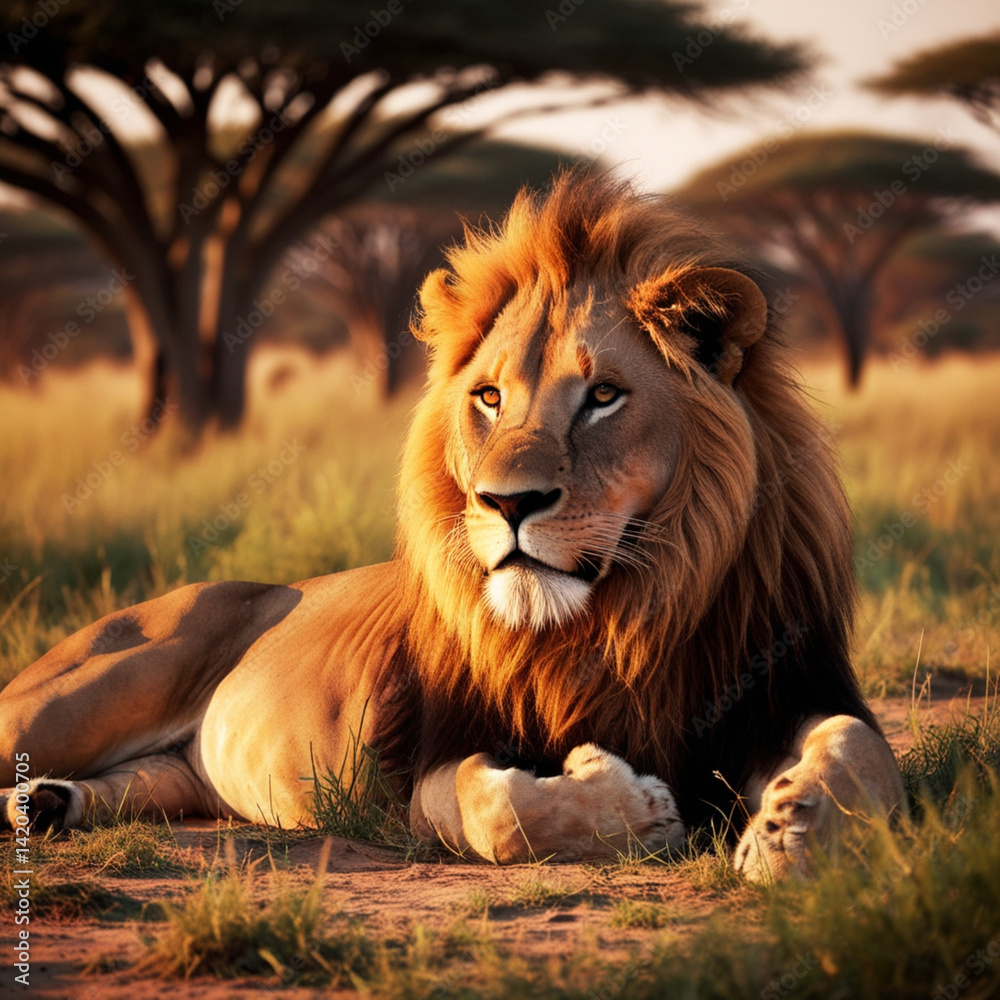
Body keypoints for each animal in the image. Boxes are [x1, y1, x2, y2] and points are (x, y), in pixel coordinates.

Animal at [0, 170, 902, 881]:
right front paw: (636, 801)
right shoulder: (420, 765)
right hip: (73, 698)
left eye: (604, 396)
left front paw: (791, 833)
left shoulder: (781, 689)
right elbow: (493, 808)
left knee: (137, 784)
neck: (617, 620)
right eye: (490, 397)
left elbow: (862, 746)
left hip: (175, 778)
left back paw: (48, 804)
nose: (509, 503)